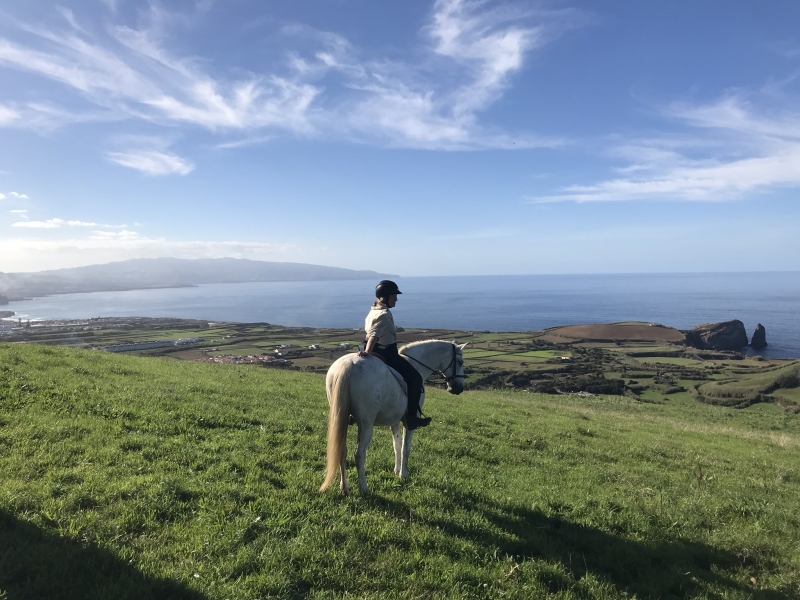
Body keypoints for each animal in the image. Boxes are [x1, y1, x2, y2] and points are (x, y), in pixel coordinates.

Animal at [320, 340, 466, 494]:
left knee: (341, 450)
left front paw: (396, 470)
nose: (458, 388)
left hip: (341, 419)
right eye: (461, 362)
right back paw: (364, 488)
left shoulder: (394, 419)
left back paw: (344, 487)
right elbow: (406, 448)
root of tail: (348, 365)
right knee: (359, 454)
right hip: (366, 424)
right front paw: (403, 474)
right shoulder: (409, 420)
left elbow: (397, 445)